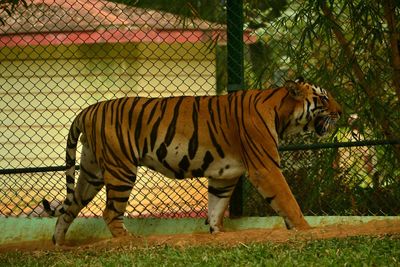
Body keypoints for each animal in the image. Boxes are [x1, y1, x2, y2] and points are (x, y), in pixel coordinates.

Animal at [42, 77, 342, 245]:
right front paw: (305, 230)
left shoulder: (224, 176)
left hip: (91, 172)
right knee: (110, 211)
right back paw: (127, 241)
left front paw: (217, 235)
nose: (341, 112)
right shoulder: (265, 168)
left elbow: (216, 208)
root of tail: (88, 109)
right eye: (324, 98)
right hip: (121, 169)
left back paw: (59, 246)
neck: (283, 114)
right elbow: (288, 201)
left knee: (69, 207)